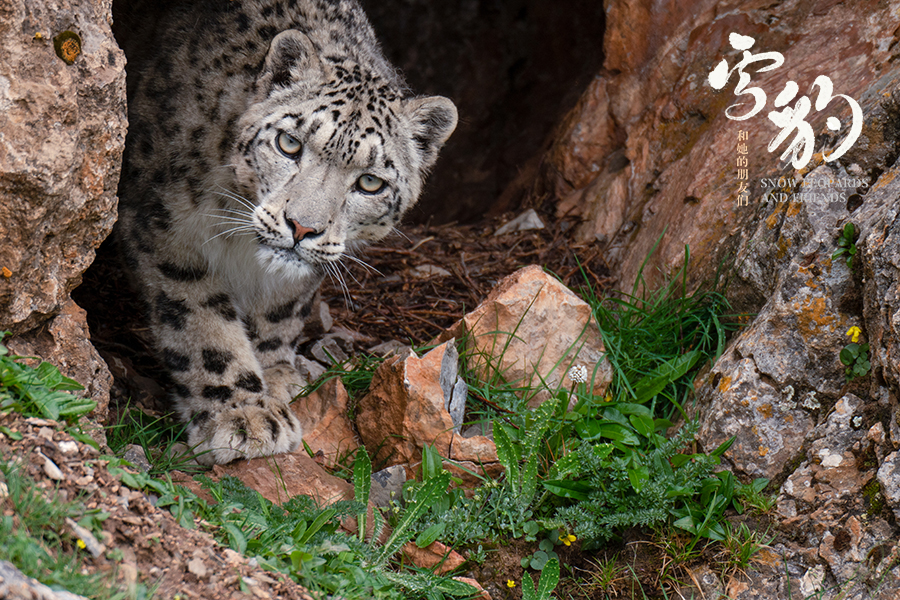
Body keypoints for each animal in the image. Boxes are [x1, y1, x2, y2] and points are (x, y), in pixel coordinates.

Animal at [116, 0, 458, 464]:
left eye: (370, 182)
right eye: (289, 143)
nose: (303, 227)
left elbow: (281, 309)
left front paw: (276, 375)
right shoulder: (165, 224)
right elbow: (201, 321)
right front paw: (244, 415)